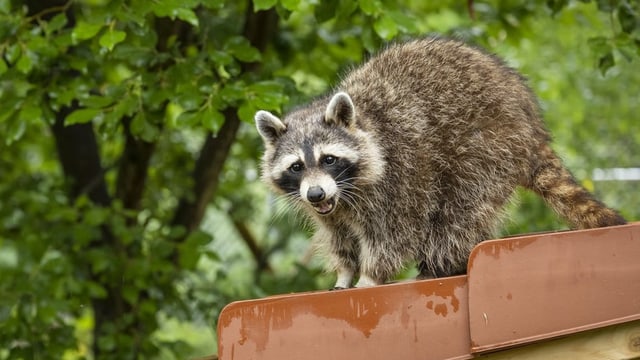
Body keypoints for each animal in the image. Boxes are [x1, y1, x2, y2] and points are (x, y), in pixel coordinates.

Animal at [254, 37, 624, 290]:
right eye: (296, 167)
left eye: (328, 159)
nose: (315, 194)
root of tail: (532, 125)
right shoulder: (331, 210)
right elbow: (339, 236)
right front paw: (345, 272)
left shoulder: (400, 174)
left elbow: (394, 234)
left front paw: (370, 276)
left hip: (488, 147)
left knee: (458, 210)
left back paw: (439, 265)